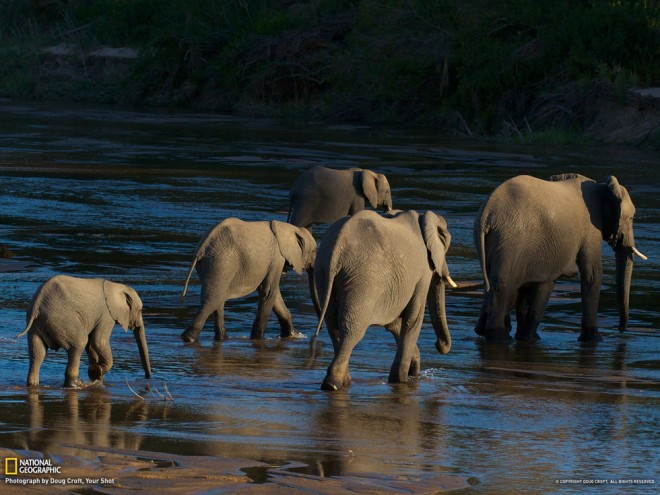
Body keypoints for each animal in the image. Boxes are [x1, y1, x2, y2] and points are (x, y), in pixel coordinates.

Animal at [15, 278, 152, 390]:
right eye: (140, 310)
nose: (147, 378)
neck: (116, 286)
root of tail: (37, 304)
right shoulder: (106, 314)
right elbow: (98, 341)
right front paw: (97, 371)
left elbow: (91, 345)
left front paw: (97, 376)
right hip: (62, 319)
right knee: (80, 343)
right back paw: (77, 385)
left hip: (36, 326)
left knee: (37, 353)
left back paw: (33, 385)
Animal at [179, 219, 316, 342]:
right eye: (314, 251)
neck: (290, 228)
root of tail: (202, 247)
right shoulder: (277, 258)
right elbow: (269, 292)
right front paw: (258, 339)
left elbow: (273, 294)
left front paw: (292, 336)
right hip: (221, 263)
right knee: (212, 299)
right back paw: (189, 338)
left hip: (213, 265)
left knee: (217, 298)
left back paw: (222, 338)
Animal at [312, 209, 456, 392]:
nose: (438, 344)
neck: (423, 219)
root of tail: (336, 251)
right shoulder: (423, 272)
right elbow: (413, 319)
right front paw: (401, 381)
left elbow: (394, 323)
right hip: (364, 280)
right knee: (351, 330)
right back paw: (333, 384)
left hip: (323, 275)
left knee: (334, 327)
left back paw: (344, 382)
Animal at [474, 172, 648, 342]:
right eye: (631, 218)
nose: (620, 329)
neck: (603, 186)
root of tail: (487, 214)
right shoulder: (591, 229)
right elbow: (592, 276)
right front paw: (595, 339)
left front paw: (527, 337)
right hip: (511, 243)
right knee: (504, 286)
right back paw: (498, 337)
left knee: (495, 283)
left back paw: (485, 331)